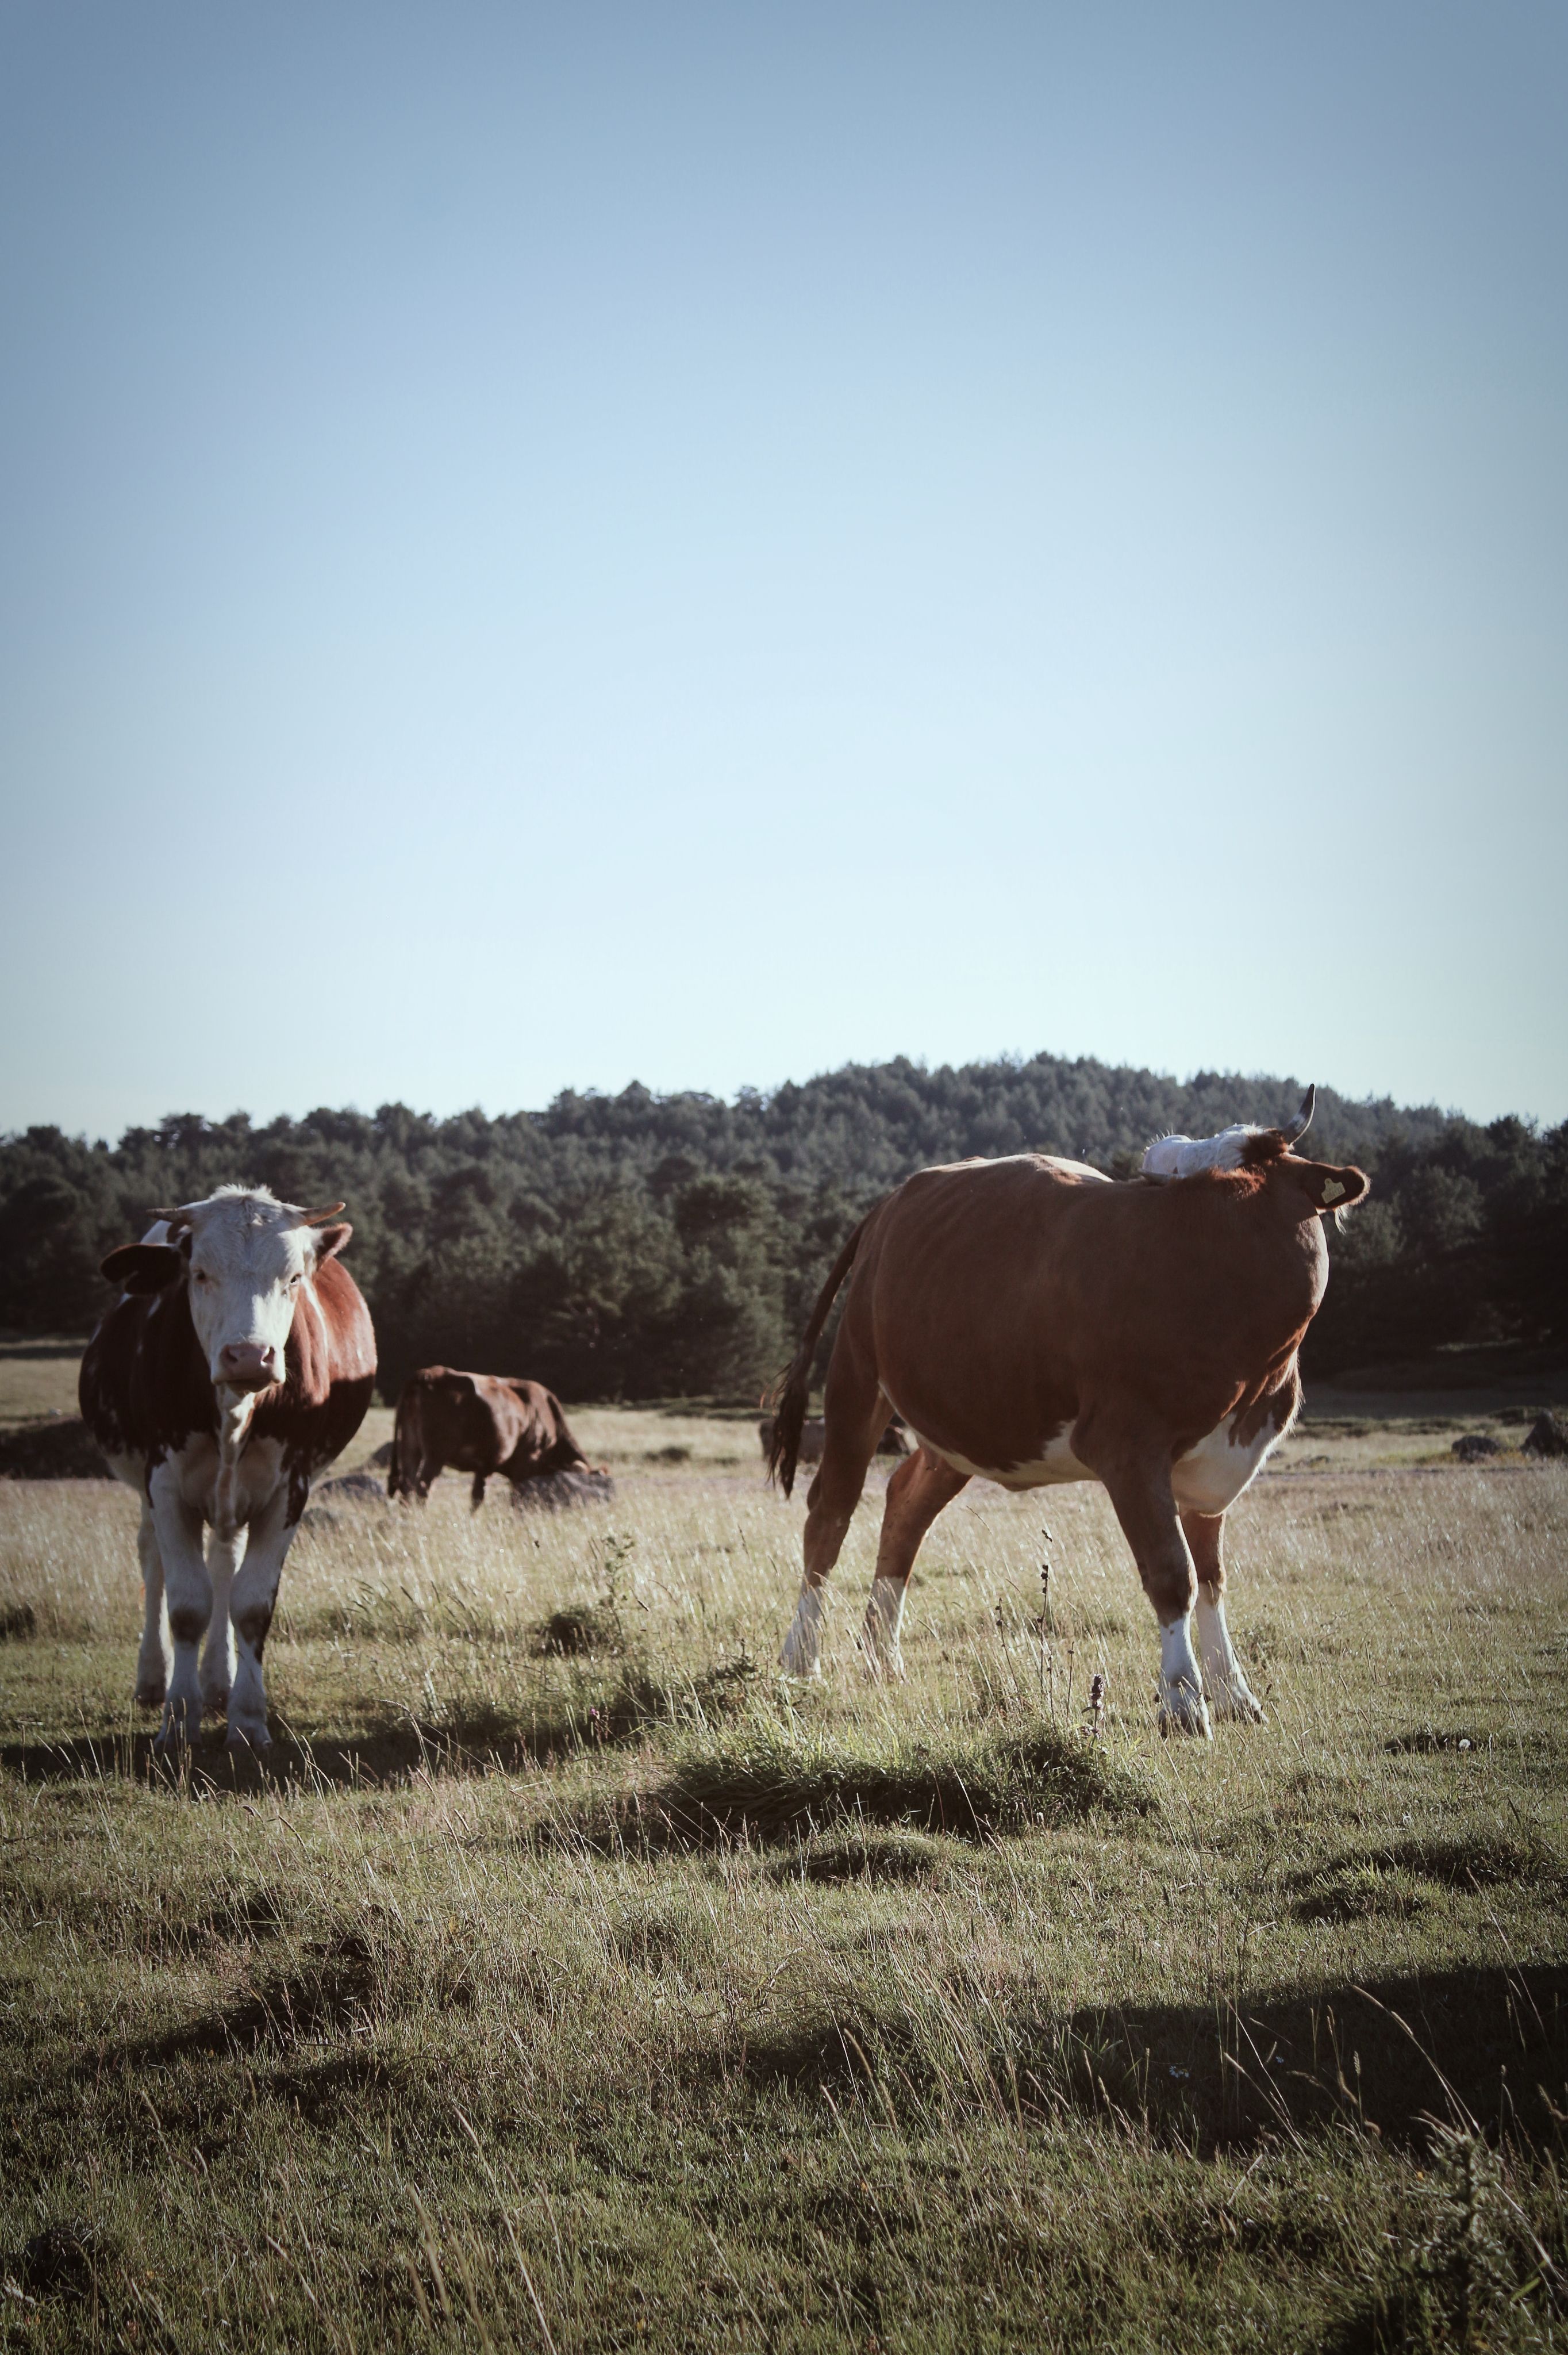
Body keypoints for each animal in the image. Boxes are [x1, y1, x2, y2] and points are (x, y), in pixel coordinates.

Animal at [79, 1187, 376, 1752]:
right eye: (199, 1273)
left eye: (294, 1278)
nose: (249, 1356)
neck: (234, 1409)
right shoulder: (165, 1484)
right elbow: (186, 1605)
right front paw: (177, 1719)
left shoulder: (289, 1490)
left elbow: (250, 1604)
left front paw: (248, 1719)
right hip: (152, 1490)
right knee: (154, 1564)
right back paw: (153, 1680)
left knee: (223, 1565)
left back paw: (219, 1681)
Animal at [387, 1368, 591, 1506]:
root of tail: (427, 1374)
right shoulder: (524, 1465)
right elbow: (515, 1498)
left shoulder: (485, 1466)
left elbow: (477, 1496)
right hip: (436, 1454)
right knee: (422, 1488)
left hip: (410, 1447)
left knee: (407, 1487)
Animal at [766, 1088, 1368, 1736]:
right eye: (1177, 1190)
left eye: (1234, 1186)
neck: (1249, 1375)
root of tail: (891, 1201)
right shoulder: (1127, 1447)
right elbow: (1171, 1574)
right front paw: (1183, 1702)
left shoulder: (1218, 1462)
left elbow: (1211, 1578)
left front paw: (1234, 1693)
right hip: (856, 1377)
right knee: (830, 1514)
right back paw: (801, 1658)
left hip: (964, 1419)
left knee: (906, 1508)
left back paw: (883, 1656)